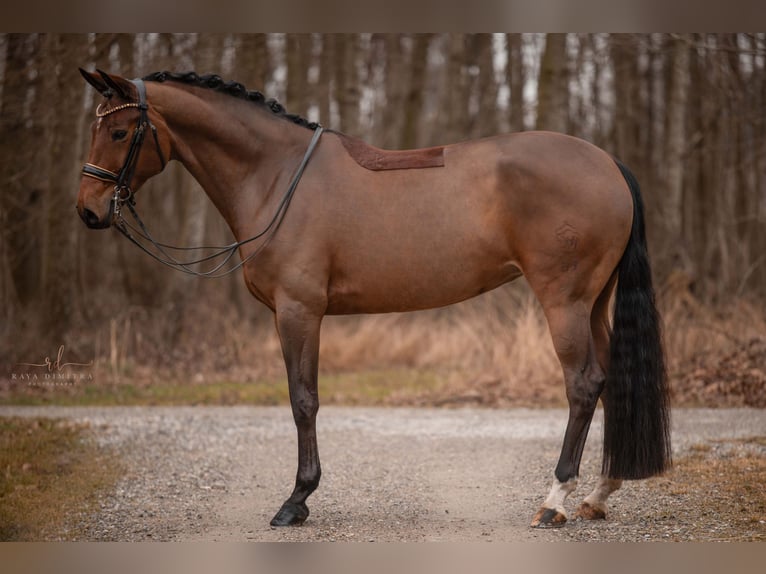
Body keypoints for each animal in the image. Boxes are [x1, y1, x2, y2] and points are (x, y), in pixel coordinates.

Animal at [75, 71, 668, 532]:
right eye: (96, 128)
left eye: (120, 131)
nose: (88, 210)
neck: (276, 175)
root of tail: (608, 164)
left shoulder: (298, 311)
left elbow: (303, 400)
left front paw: (297, 500)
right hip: (593, 301)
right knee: (610, 378)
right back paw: (598, 493)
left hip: (563, 300)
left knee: (583, 384)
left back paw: (555, 500)